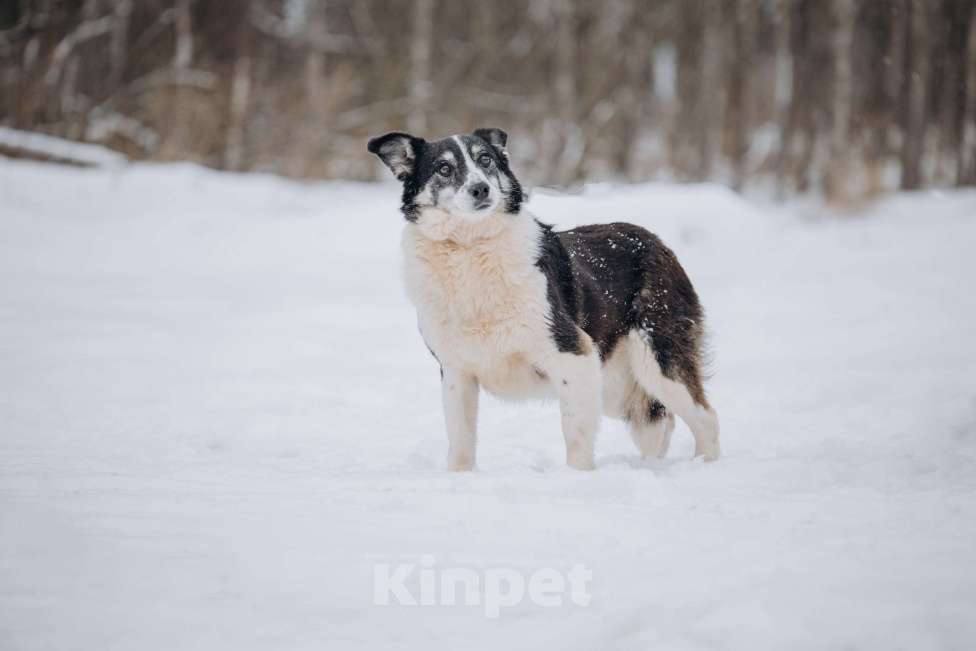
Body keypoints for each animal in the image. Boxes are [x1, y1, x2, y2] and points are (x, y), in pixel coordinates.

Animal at [366, 129, 716, 474]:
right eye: (443, 168)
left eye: (485, 159)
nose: (481, 189)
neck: (470, 247)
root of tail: (656, 242)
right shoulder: (456, 373)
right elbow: (461, 442)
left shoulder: (573, 355)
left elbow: (575, 435)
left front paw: (576, 478)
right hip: (614, 383)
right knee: (661, 424)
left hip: (656, 362)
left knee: (705, 418)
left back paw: (706, 464)